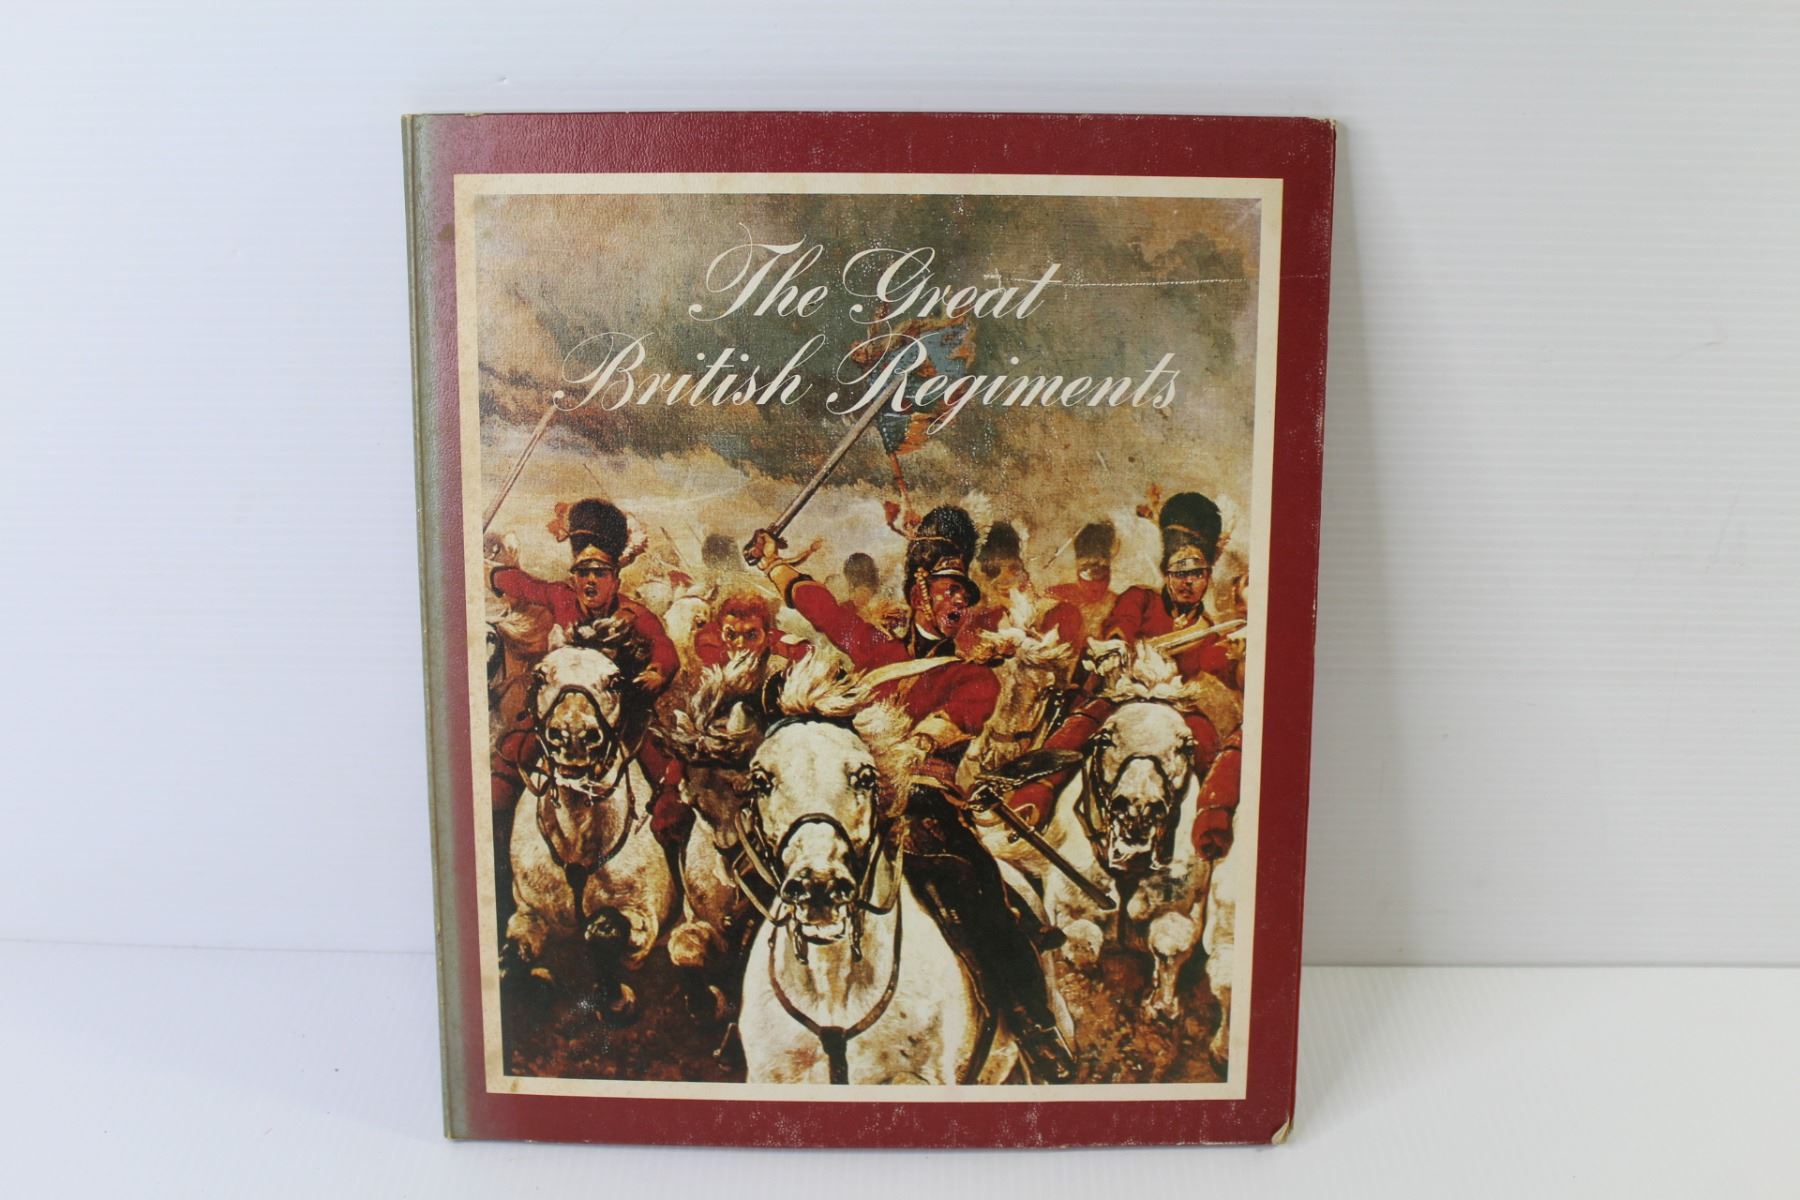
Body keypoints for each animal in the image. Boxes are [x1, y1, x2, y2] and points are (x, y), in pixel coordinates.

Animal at [502, 622, 675, 1025]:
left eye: (615, 681)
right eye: (539, 676)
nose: (575, 738)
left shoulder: (645, 916)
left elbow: (604, 933)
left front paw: (615, 999)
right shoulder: (530, 913)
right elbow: (514, 954)